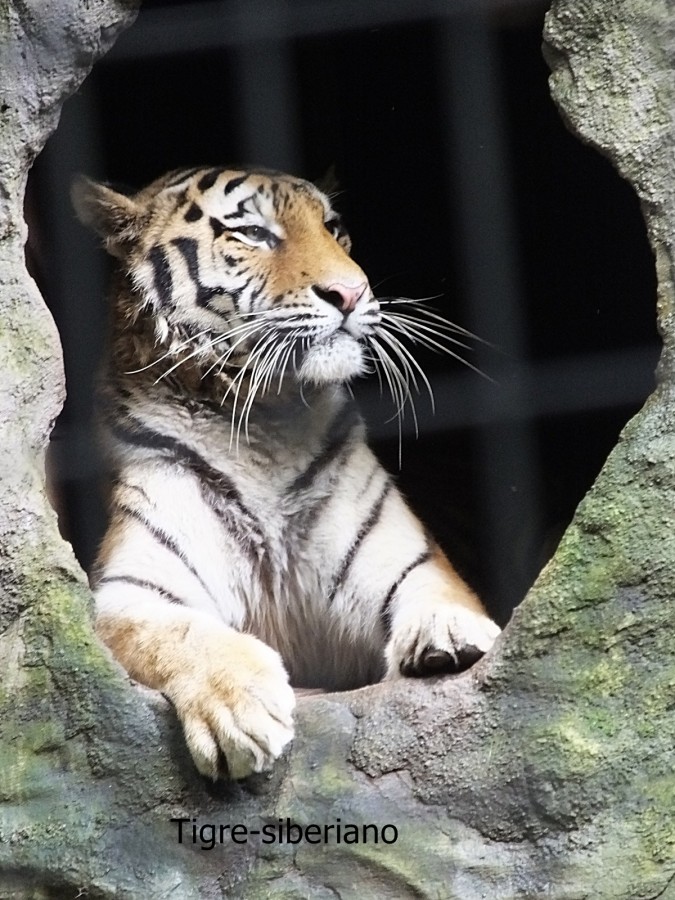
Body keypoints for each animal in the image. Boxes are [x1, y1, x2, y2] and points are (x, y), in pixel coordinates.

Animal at [71, 167, 502, 780]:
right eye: (253, 233)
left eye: (333, 227)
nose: (351, 293)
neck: (263, 426)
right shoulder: (130, 590)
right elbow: (181, 633)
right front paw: (239, 708)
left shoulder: (406, 557)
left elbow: (436, 589)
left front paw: (451, 632)